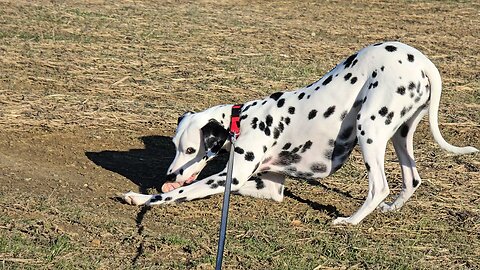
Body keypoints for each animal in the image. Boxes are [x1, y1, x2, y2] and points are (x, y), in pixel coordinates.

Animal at [123, 41, 476, 224]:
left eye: (190, 149)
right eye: (174, 145)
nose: (170, 173)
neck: (243, 120)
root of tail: (423, 62)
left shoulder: (227, 178)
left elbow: (178, 193)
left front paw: (140, 197)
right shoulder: (268, 187)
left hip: (370, 130)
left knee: (379, 186)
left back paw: (350, 221)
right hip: (401, 134)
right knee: (412, 179)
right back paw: (390, 208)